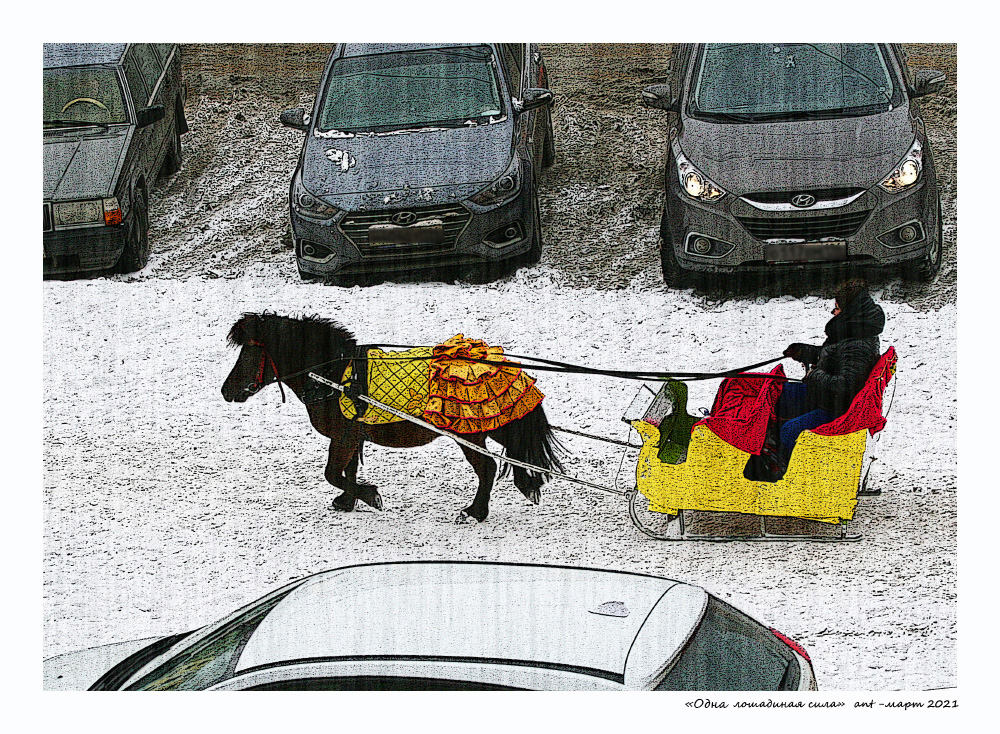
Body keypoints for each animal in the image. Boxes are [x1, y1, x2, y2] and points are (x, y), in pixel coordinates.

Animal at [222, 314, 564, 528]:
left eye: (246, 356)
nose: (226, 391)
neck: (334, 376)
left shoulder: (344, 437)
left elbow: (332, 473)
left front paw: (370, 496)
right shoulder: (351, 437)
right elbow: (347, 471)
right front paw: (348, 501)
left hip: (470, 433)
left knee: (489, 467)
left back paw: (474, 512)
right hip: (489, 425)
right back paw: (525, 485)